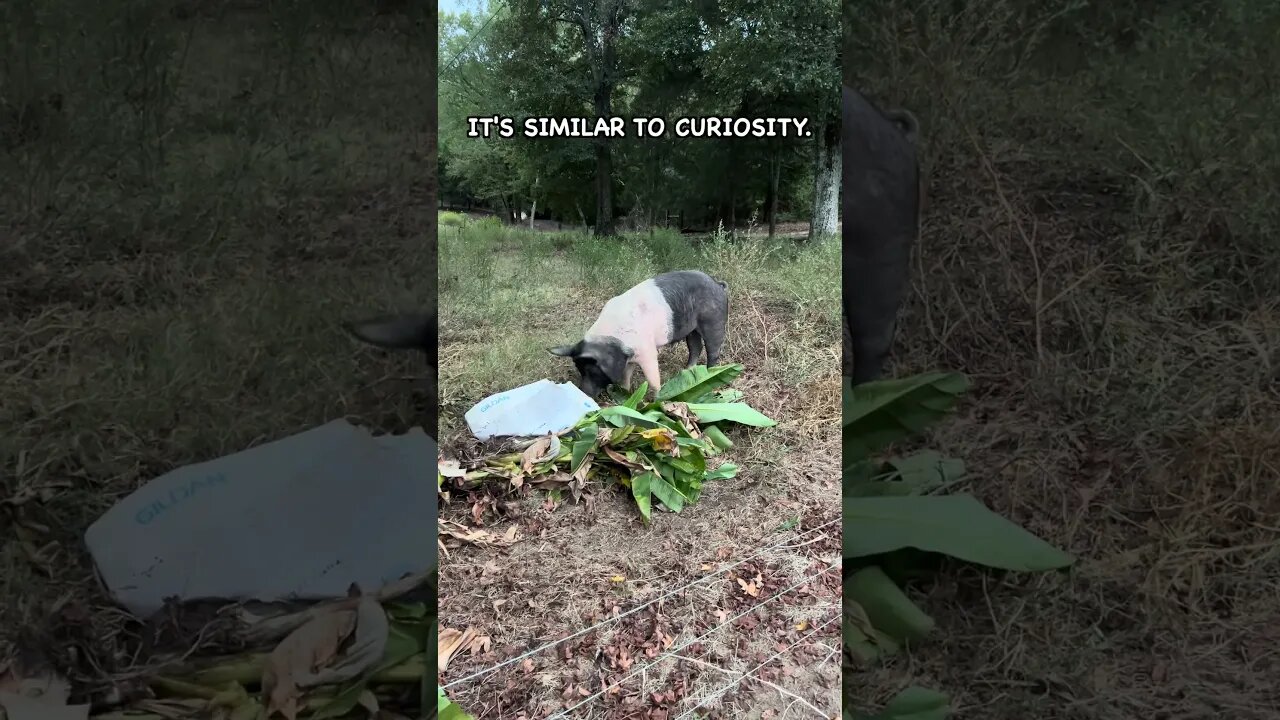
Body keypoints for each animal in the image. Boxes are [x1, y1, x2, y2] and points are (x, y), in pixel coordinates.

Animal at [547, 267, 732, 394]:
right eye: (580, 370)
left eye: (593, 371)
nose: (584, 392)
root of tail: (718, 285)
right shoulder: (629, 358)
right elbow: (626, 377)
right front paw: (625, 394)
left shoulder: (647, 352)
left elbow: (653, 379)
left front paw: (658, 398)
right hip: (691, 329)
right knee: (695, 347)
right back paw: (686, 371)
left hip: (714, 320)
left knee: (713, 350)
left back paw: (709, 374)